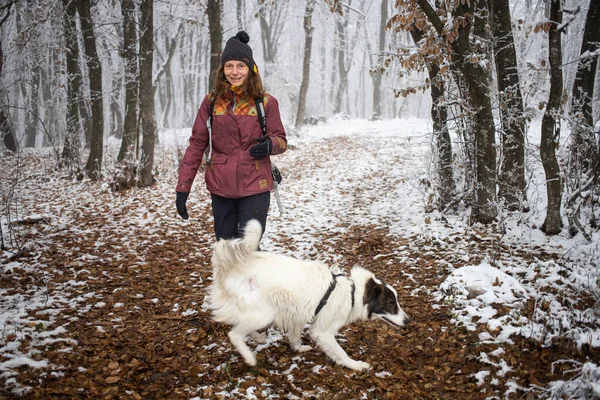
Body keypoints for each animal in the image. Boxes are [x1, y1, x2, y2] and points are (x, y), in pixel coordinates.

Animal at [209, 220, 410, 370]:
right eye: (390, 304)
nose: (408, 321)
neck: (353, 293)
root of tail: (234, 266)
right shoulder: (324, 332)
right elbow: (341, 353)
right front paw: (356, 365)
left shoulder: (297, 313)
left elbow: (295, 336)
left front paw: (298, 348)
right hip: (264, 313)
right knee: (234, 334)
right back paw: (249, 357)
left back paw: (257, 337)